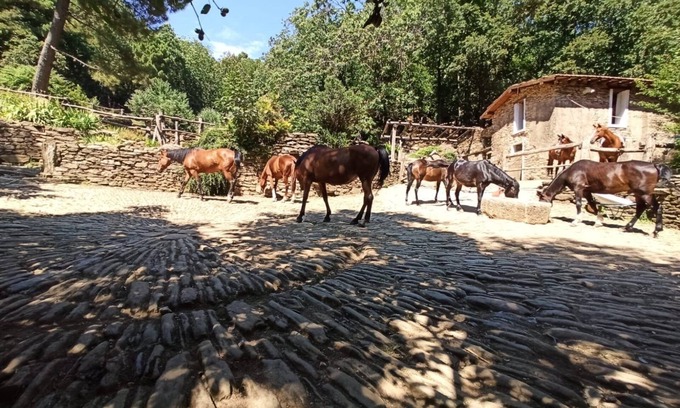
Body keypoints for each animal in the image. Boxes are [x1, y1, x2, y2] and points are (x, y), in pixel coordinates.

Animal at [537, 160, 673, 237]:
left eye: (542, 200)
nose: (547, 217)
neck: (573, 170)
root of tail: (654, 165)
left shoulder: (579, 189)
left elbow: (579, 204)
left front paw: (576, 221)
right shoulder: (587, 191)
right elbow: (593, 205)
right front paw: (598, 221)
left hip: (645, 194)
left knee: (657, 207)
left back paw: (656, 231)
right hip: (638, 193)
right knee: (640, 208)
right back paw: (626, 227)